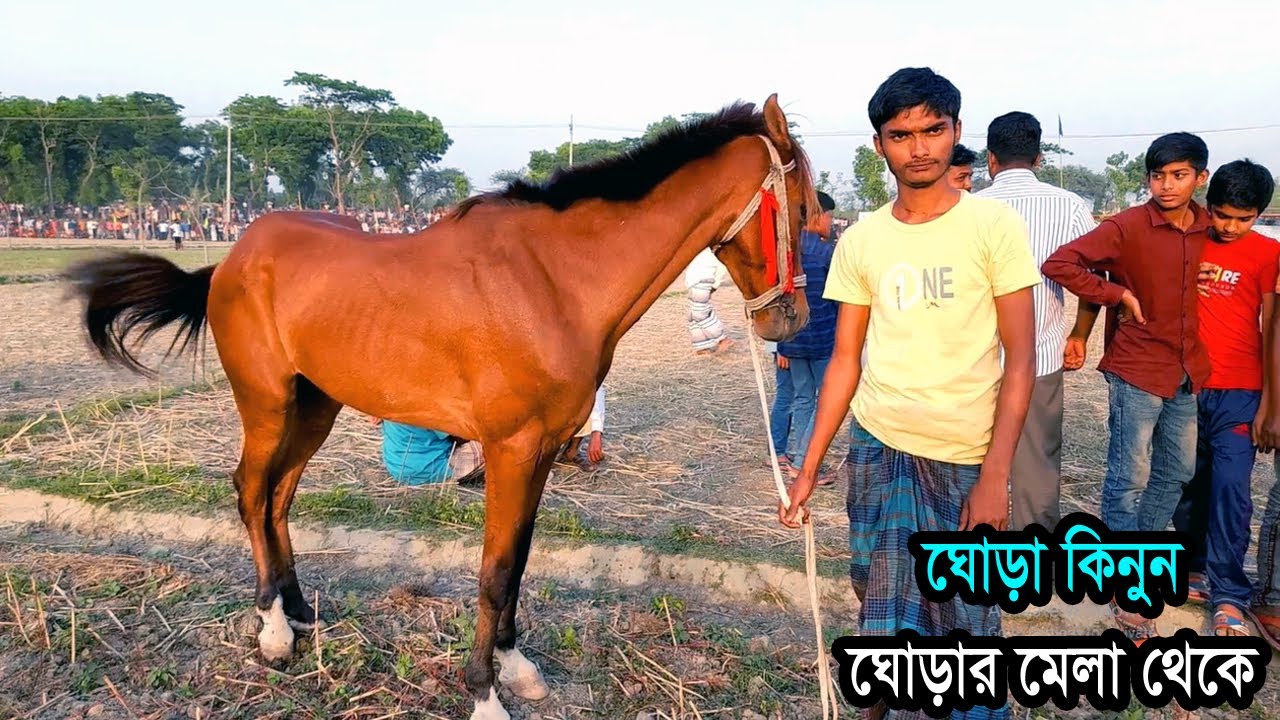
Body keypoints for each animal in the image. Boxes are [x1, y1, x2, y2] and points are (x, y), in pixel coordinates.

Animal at [66, 94, 816, 720]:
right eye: (811, 207)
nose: (793, 320)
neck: (554, 279)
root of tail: (233, 256)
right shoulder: (510, 449)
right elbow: (494, 572)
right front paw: (484, 693)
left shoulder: (541, 452)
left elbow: (517, 562)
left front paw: (516, 667)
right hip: (268, 404)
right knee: (251, 491)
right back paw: (274, 631)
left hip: (315, 409)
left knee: (278, 498)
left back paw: (301, 612)